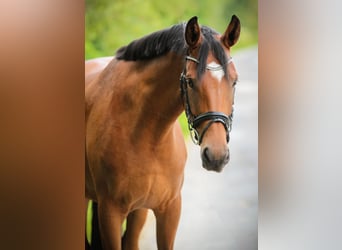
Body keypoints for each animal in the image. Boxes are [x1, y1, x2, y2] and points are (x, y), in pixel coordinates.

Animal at [85, 15, 240, 250]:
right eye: (190, 81)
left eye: (234, 80)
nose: (216, 156)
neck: (148, 137)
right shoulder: (109, 212)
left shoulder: (170, 209)